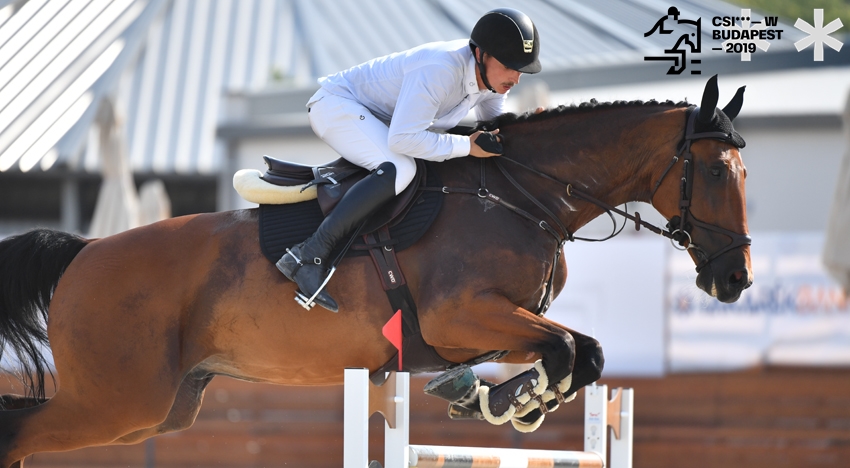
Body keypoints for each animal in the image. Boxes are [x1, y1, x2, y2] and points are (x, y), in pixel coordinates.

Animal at [0, 75, 744, 466]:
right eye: (713, 171)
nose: (733, 280)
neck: (519, 192)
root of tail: (85, 253)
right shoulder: (461, 314)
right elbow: (570, 348)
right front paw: (507, 400)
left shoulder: (497, 325)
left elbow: (577, 354)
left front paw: (494, 398)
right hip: (118, 401)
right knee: (18, 431)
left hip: (160, 410)